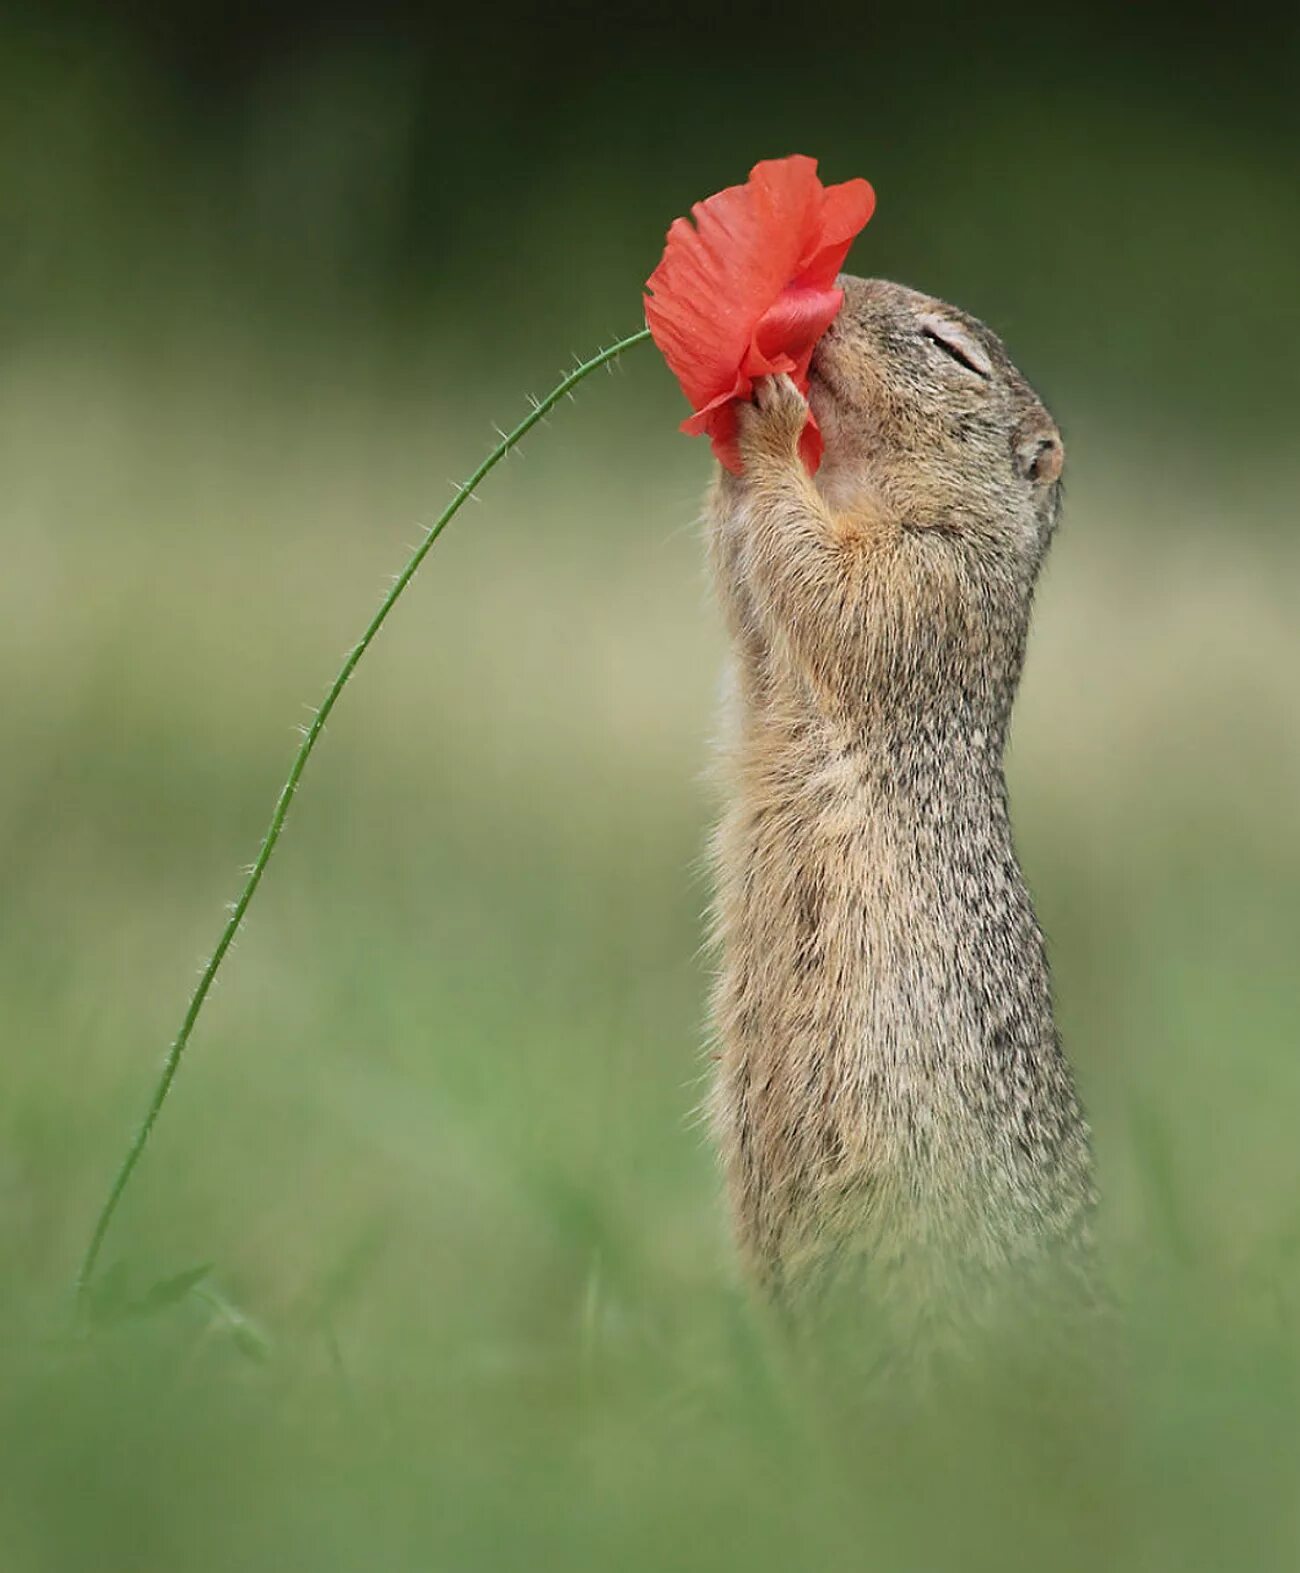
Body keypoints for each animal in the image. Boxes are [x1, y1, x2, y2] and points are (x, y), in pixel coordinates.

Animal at [705, 276, 1089, 1333]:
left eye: (952, 350)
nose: (830, 295)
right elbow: (752, 609)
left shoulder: (934, 581)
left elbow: (836, 589)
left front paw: (768, 423)